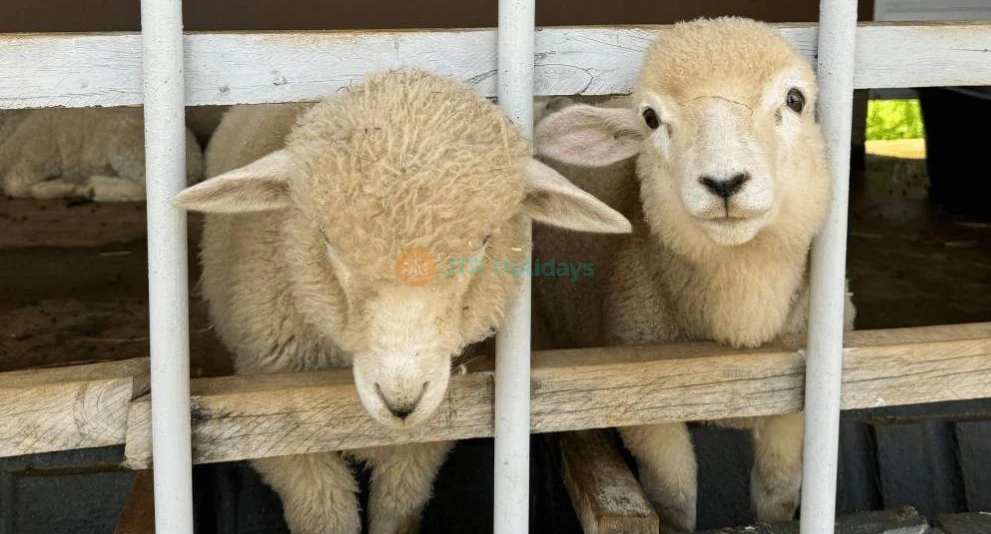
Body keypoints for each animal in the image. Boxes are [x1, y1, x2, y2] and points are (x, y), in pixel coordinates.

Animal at [0, 108, 204, 201]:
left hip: (125, 146)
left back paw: (93, 187)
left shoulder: (35, 152)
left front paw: (66, 187)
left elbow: (16, 186)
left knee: (145, 188)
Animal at [173, 69, 632, 534]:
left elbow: (398, 510)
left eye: (484, 241)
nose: (401, 403)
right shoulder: (287, 439)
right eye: (328, 240)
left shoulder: (421, 445)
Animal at [533, 18, 856, 531]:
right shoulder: (649, 413)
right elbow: (674, 499)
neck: (739, 330)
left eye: (795, 99)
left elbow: (779, 492)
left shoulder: (795, 407)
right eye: (650, 118)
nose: (724, 182)